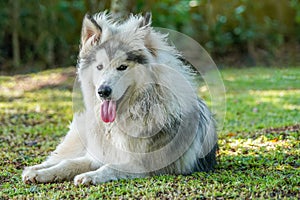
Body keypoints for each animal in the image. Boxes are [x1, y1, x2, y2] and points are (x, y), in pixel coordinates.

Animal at [21, 11, 218, 185]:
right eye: (99, 67)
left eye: (122, 67)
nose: (103, 91)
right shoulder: (97, 155)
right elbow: (68, 164)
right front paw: (45, 173)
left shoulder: (142, 164)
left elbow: (109, 167)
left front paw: (90, 176)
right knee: (60, 157)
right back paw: (36, 169)